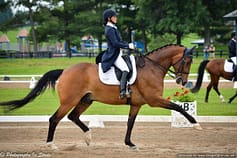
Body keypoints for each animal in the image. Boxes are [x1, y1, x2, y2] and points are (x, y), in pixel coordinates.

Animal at [0, 44, 202, 149]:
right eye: (188, 60)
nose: (183, 81)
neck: (152, 68)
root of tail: (65, 71)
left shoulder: (137, 104)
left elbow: (130, 123)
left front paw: (129, 143)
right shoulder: (154, 100)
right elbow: (177, 106)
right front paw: (196, 124)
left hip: (86, 100)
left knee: (73, 116)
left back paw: (88, 137)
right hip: (70, 100)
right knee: (55, 119)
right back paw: (51, 145)